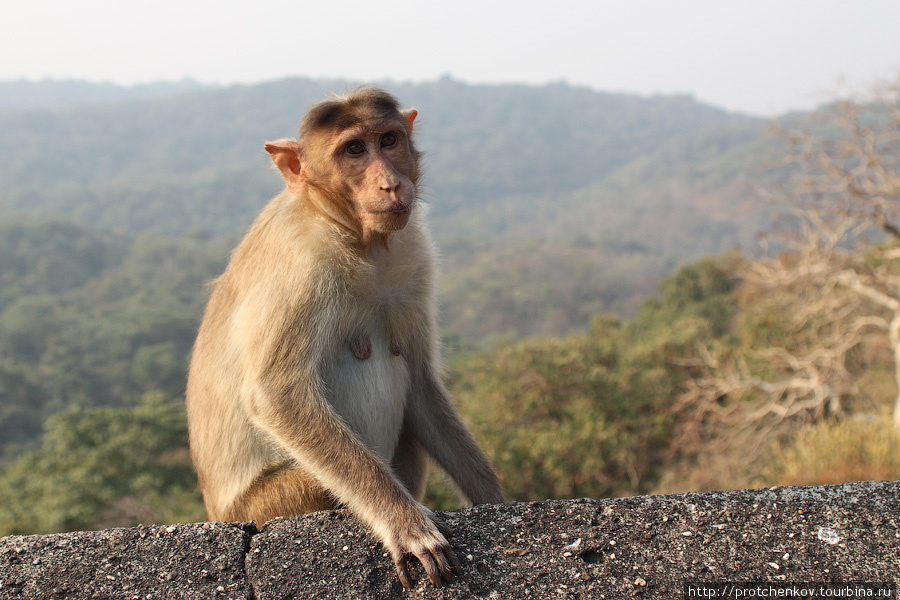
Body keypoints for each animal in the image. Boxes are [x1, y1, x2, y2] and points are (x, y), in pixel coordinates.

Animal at [185, 86, 502, 588]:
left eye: (388, 140)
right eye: (354, 150)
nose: (390, 183)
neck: (360, 238)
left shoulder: (415, 252)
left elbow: (421, 385)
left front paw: (492, 497)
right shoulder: (302, 265)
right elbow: (276, 395)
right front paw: (405, 523)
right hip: (265, 504)